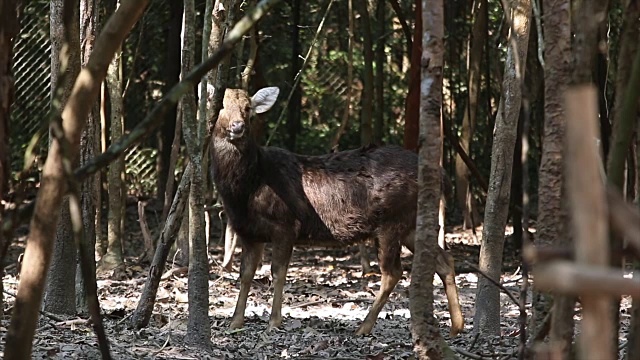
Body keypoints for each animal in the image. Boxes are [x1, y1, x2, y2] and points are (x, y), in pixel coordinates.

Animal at [211, 86, 464, 334]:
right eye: (221, 105)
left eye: (248, 108)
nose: (237, 126)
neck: (248, 189)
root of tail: (444, 178)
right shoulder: (248, 232)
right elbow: (245, 274)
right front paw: (234, 322)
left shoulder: (286, 225)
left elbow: (278, 272)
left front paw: (274, 322)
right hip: (409, 224)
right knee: (444, 259)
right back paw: (456, 326)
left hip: (392, 220)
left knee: (393, 272)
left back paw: (364, 326)